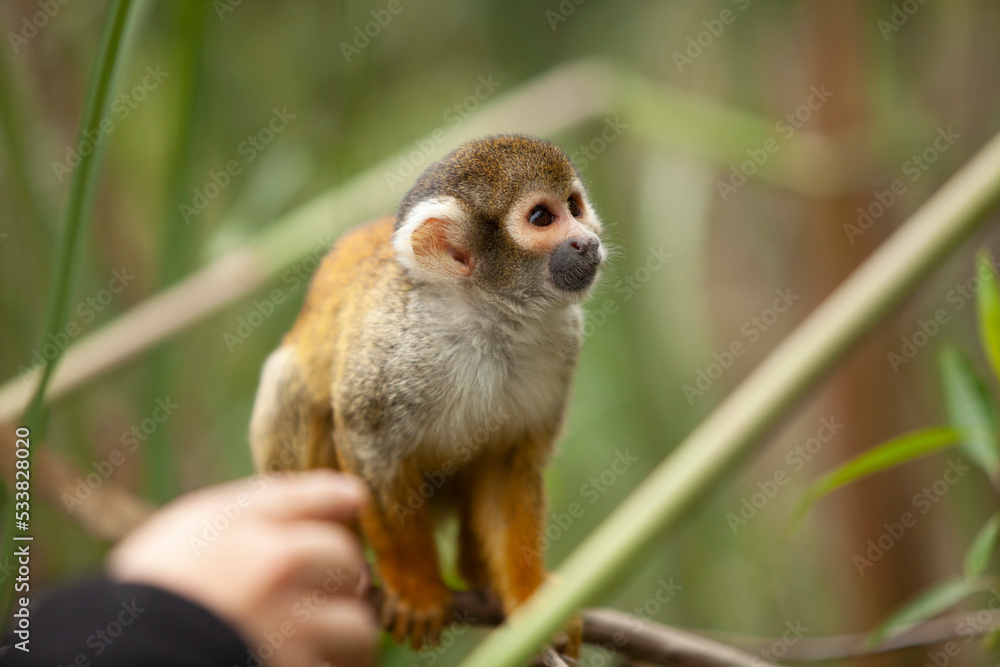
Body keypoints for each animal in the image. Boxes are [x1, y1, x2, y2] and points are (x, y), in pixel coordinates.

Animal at [249, 135, 605, 656]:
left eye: (575, 206)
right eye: (543, 217)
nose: (588, 239)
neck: (490, 320)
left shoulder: (563, 342)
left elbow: (509, 465)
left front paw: (531, 602)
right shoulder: (390, 352)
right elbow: (369, 451)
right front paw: (417, 593)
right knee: (291, 384)